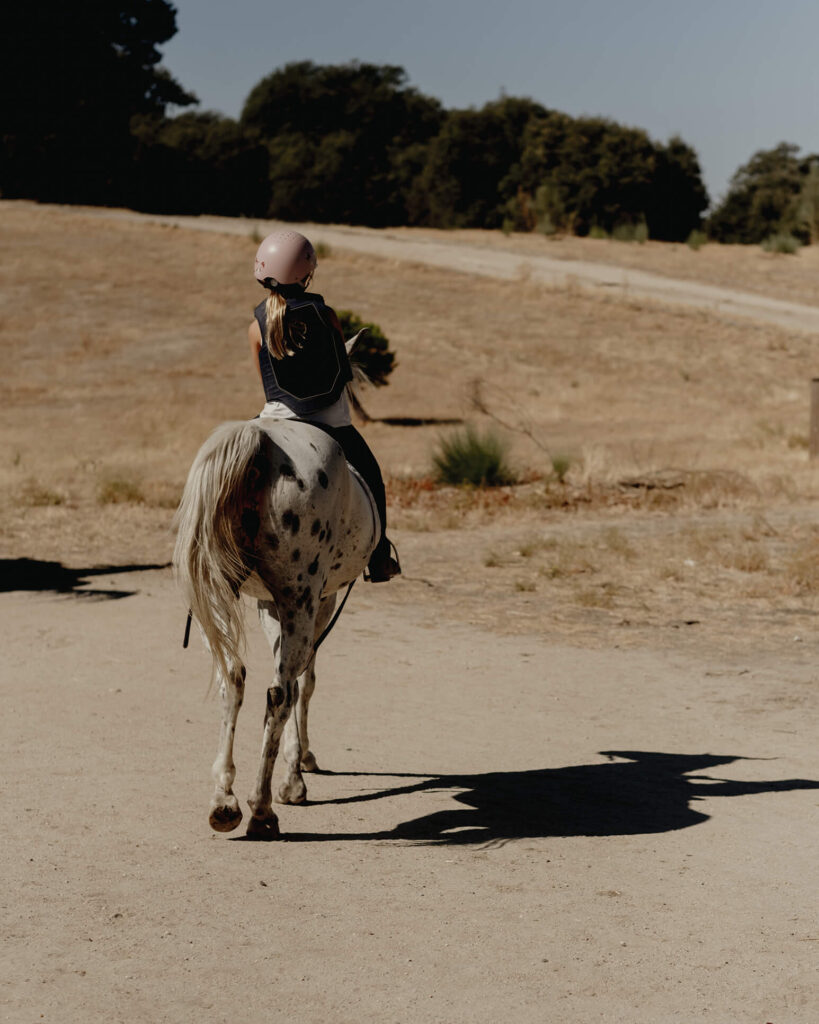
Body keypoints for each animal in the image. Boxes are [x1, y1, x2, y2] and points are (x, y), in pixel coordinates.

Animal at [173, 416, 379, 838]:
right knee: (279, 695)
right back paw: (262, 808)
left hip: (215, 591)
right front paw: (296, 774)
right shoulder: (318, 601)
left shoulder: (268, 603)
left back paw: (224, 799)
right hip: (299, 598)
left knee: (232, 677)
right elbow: (306, 684)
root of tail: (259, 439)